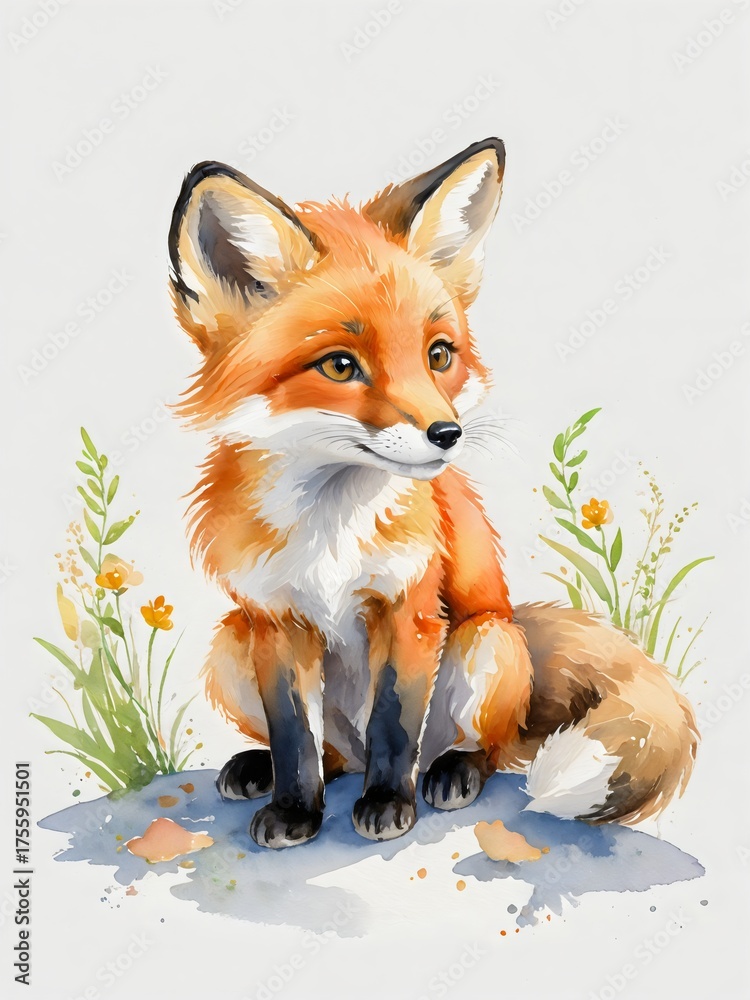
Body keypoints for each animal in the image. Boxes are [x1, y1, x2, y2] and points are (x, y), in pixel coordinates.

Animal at [167, 138, 698, 849]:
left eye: (439, 355)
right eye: (340, 365)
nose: (448, 434)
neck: (332, 529)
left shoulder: (411, 609)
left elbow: (394, 724)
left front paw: (388, 805)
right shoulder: (275, 621)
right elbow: (294, 739)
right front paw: (295, 809)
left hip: (486, 643)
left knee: (481, 748)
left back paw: (451, 774)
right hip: (230, 640)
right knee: (332, 755)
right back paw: (261, 768)